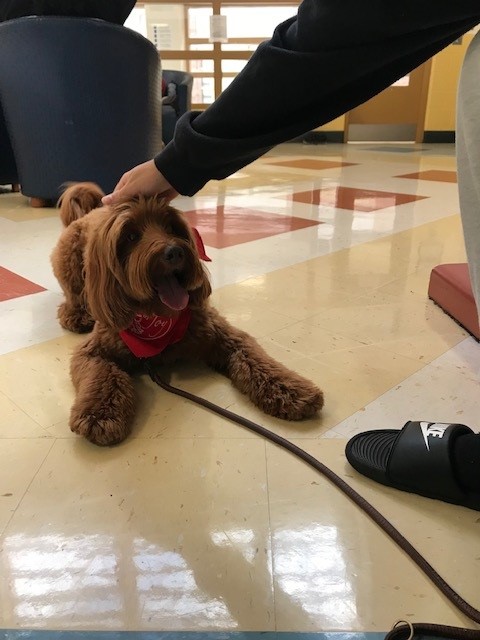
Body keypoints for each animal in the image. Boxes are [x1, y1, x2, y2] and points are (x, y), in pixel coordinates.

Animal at [50, 182, 324, 448]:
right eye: (131, 235)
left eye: (172, 227)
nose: (174, 252)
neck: (156, 319)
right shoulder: (94, 350)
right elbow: (102, 375)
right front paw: (100, 412)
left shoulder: (223, 333)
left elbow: (256, 360)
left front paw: (289, 389)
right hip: (69, 266)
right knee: (73, 296)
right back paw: (76, 314)